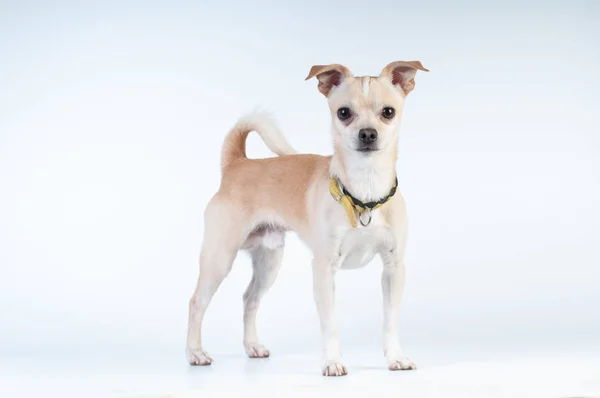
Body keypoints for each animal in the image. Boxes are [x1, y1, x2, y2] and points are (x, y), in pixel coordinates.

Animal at [185, 60, 428, 374]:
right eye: (343, 113)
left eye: (388, 112)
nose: (367, 134)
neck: (364, 192)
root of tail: (237, 164)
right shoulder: (324, 269)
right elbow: (330, 323)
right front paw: (333, 362)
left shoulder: (393, 268)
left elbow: (390, 320)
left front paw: (395, 357)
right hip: (219, 257)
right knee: (196, 302)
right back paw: (195, 352)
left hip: (269, 261)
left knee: (249, 299)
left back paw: (252, 346)